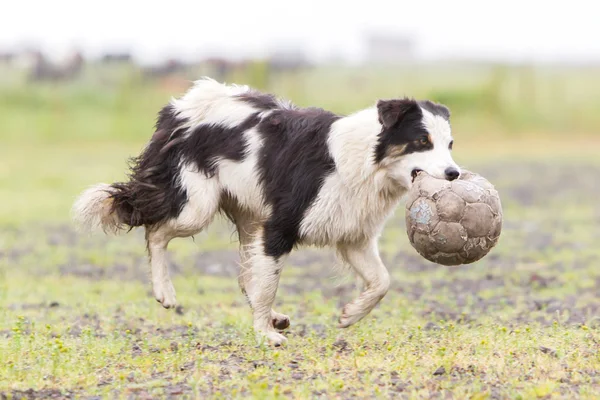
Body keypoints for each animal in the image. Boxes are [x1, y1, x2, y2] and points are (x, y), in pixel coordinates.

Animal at [72, 77, 462, 344]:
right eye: (422, 141)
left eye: (450, 144)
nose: (454, 174)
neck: (368, 163)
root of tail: (180, 105)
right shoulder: (281, 226)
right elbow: (269, 284)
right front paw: (264, 334)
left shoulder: (353, 233)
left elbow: (382, 281)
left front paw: (351, 315)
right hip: (196, 206)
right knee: (156, 231)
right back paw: (165, 292)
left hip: (249, 212)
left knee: (246, 274)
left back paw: (274, 316)